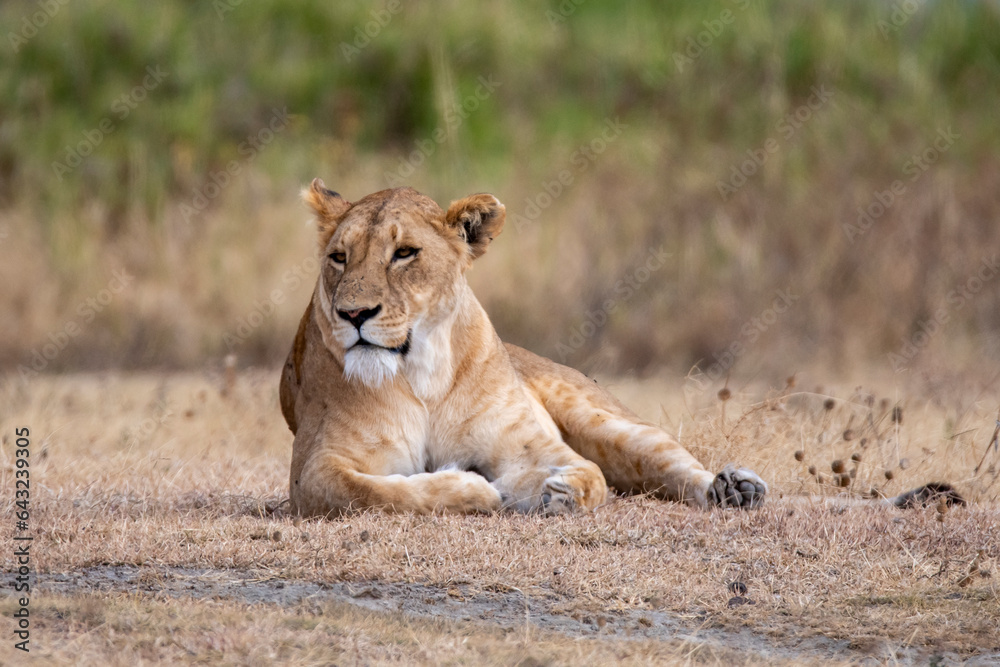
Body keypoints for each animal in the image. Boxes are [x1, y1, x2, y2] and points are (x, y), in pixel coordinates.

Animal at [279, 180, 768, 517]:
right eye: (338, 258)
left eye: (404, 253)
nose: (353, 314)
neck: (422, 373)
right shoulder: (314, 470)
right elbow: (375, 491)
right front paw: (475, 487)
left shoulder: (526, 444)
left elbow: (590, 475)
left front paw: (558, 492)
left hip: (601, 417)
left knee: (665, 457)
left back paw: (734, 487)